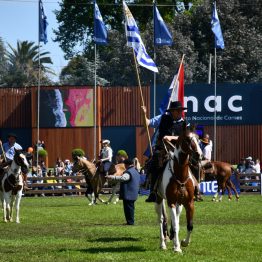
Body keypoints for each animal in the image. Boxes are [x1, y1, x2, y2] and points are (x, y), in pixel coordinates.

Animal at [156, 124, 203, 253]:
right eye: (187, 139)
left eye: (198, 138)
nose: (199, 154)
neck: (180, 175)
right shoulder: (171, 202)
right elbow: (175, 225)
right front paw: (177, 248)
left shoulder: (189, 202)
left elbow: (189, 225)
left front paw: (183, 242)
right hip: (159, 198)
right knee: (161, 219)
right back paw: (163, 244)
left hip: (179, 203)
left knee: (174, 219)